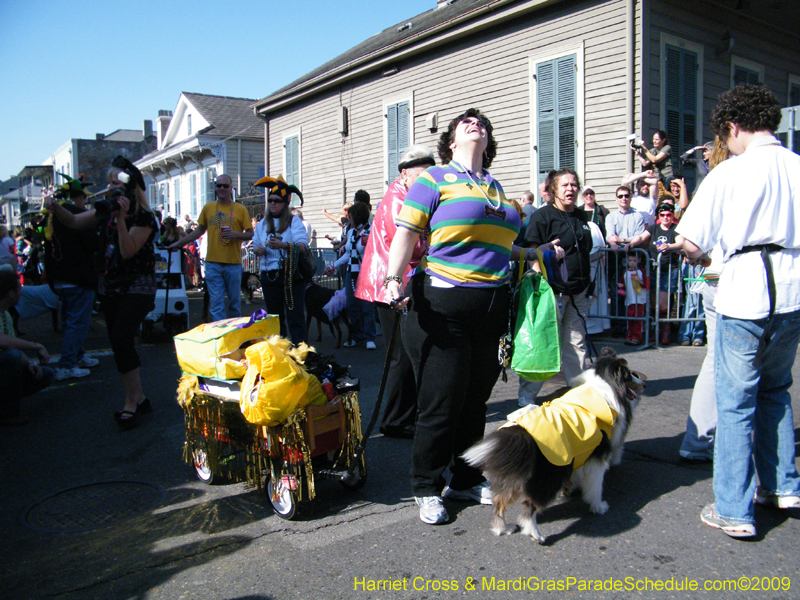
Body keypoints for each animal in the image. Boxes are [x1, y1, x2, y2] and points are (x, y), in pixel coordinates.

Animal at [462, 350, 644, 548]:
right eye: (628, 374)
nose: (643, 382)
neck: (602, 387)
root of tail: (522, 434)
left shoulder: (578, 451)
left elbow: (576, 476)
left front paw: (571, 490)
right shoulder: (596, 457)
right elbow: (595, 486)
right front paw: (599, 506)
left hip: (514, 475)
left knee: (500, 502)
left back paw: (502, 528)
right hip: (548, 476)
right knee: (529, 506)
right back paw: (535, 534)